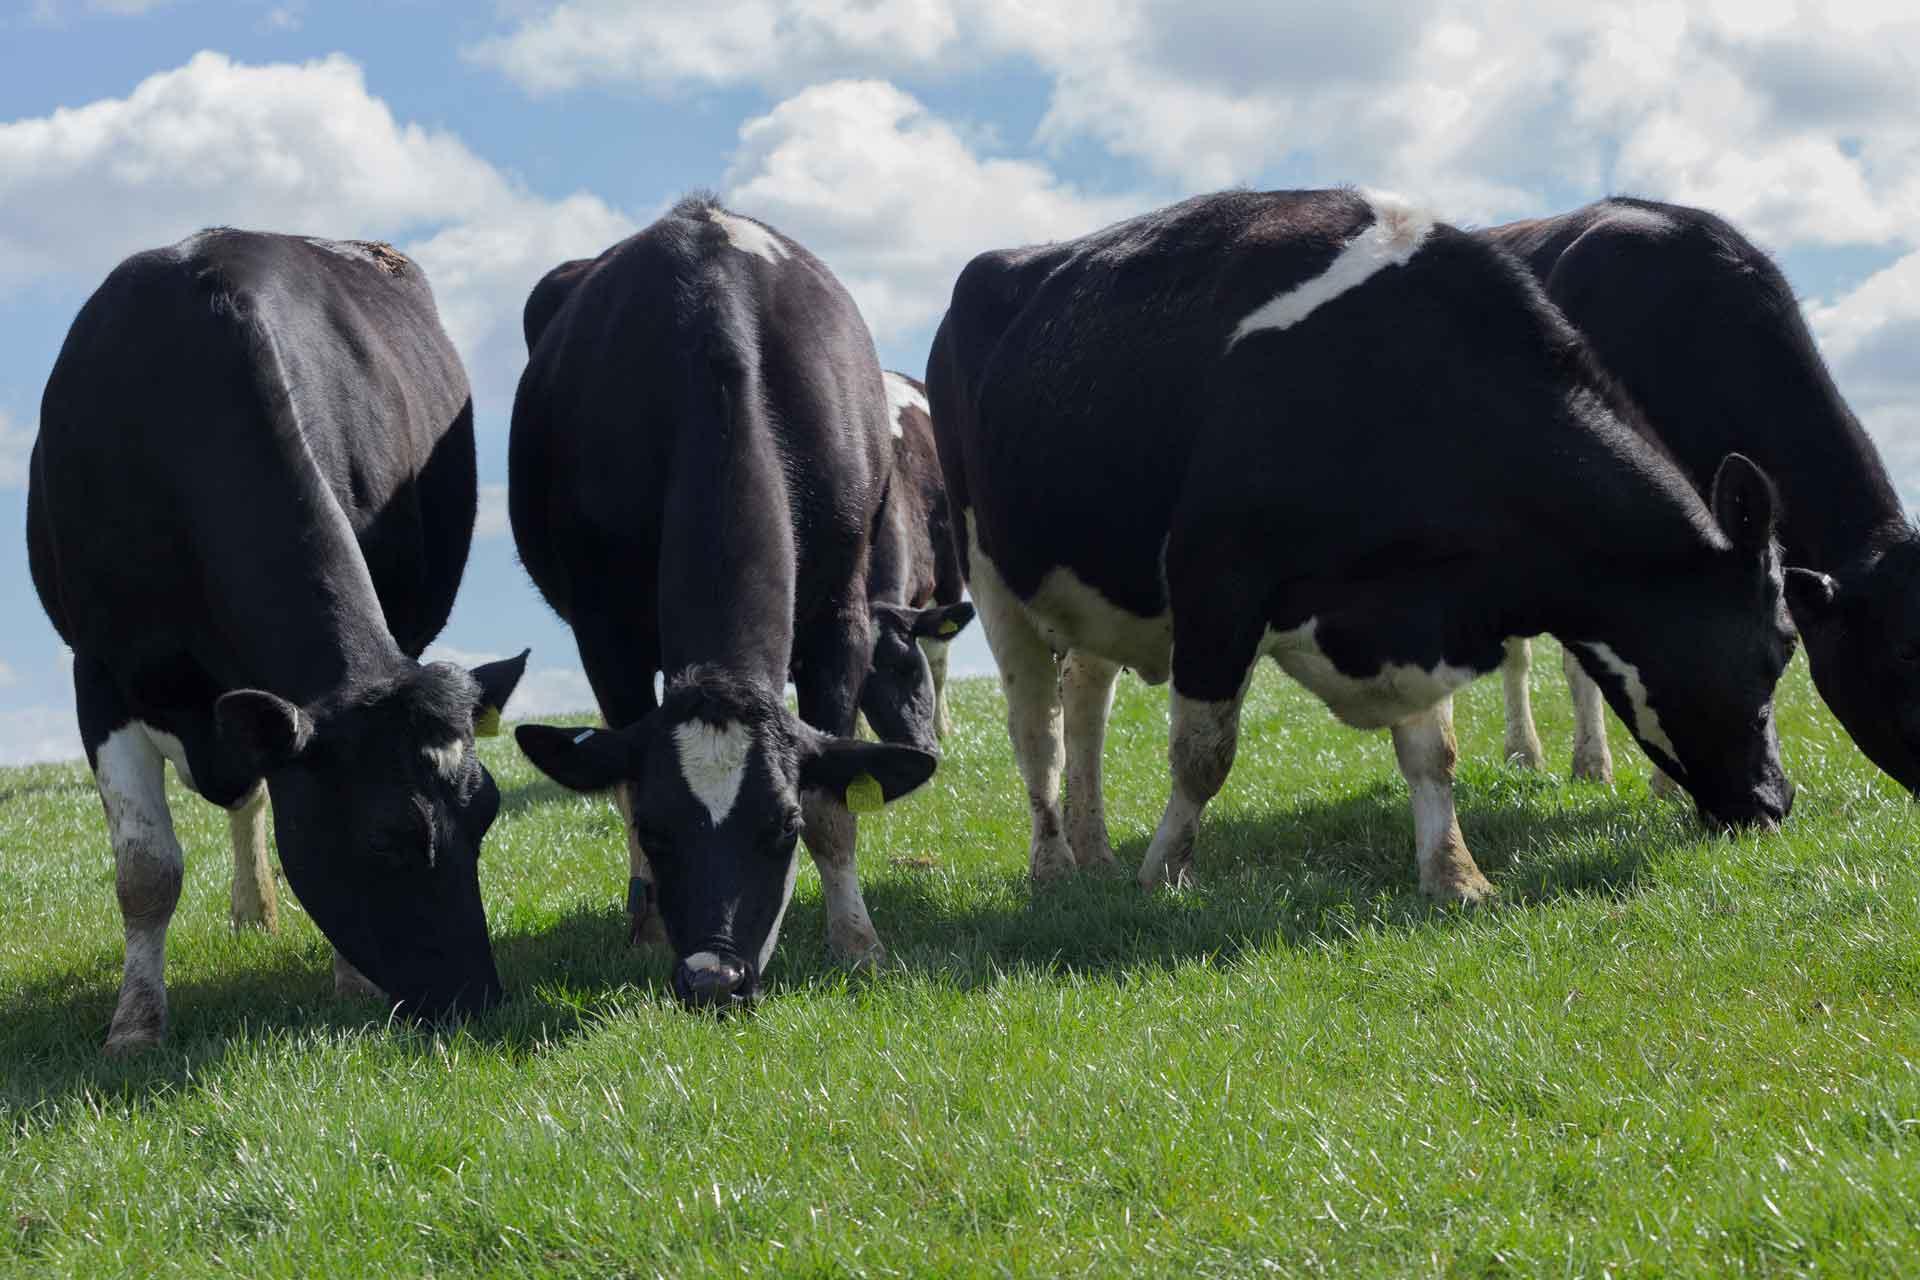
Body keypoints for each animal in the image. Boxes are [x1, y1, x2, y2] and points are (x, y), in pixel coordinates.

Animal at [27, 229, 527, 1053]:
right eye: (389, 835)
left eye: (487, 812)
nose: (477, 1001)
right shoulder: (98, 673)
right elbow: (146, 872)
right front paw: (135, 1024)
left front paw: (353, 983)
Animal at [507, 196, 937, 1010]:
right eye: (662, 829)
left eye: (780, 828)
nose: (714, 978)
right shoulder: (603, 630)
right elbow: (623, 779)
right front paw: (647, 936)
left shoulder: (843, 617)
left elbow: (836, 804)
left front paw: (857, 944)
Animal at [927, 188, 1801, 901]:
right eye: (1781, 647)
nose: (1775, 801)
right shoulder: (1217, 580)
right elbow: (1204, 753)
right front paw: (1166, 872)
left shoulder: (1426, 599)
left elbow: (1433, 752)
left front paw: (1455, 874)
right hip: (994, 576)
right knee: (1037, 731)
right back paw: (1053, 865)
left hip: (1101, 589)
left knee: (1086, 701)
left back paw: (1096, 849)